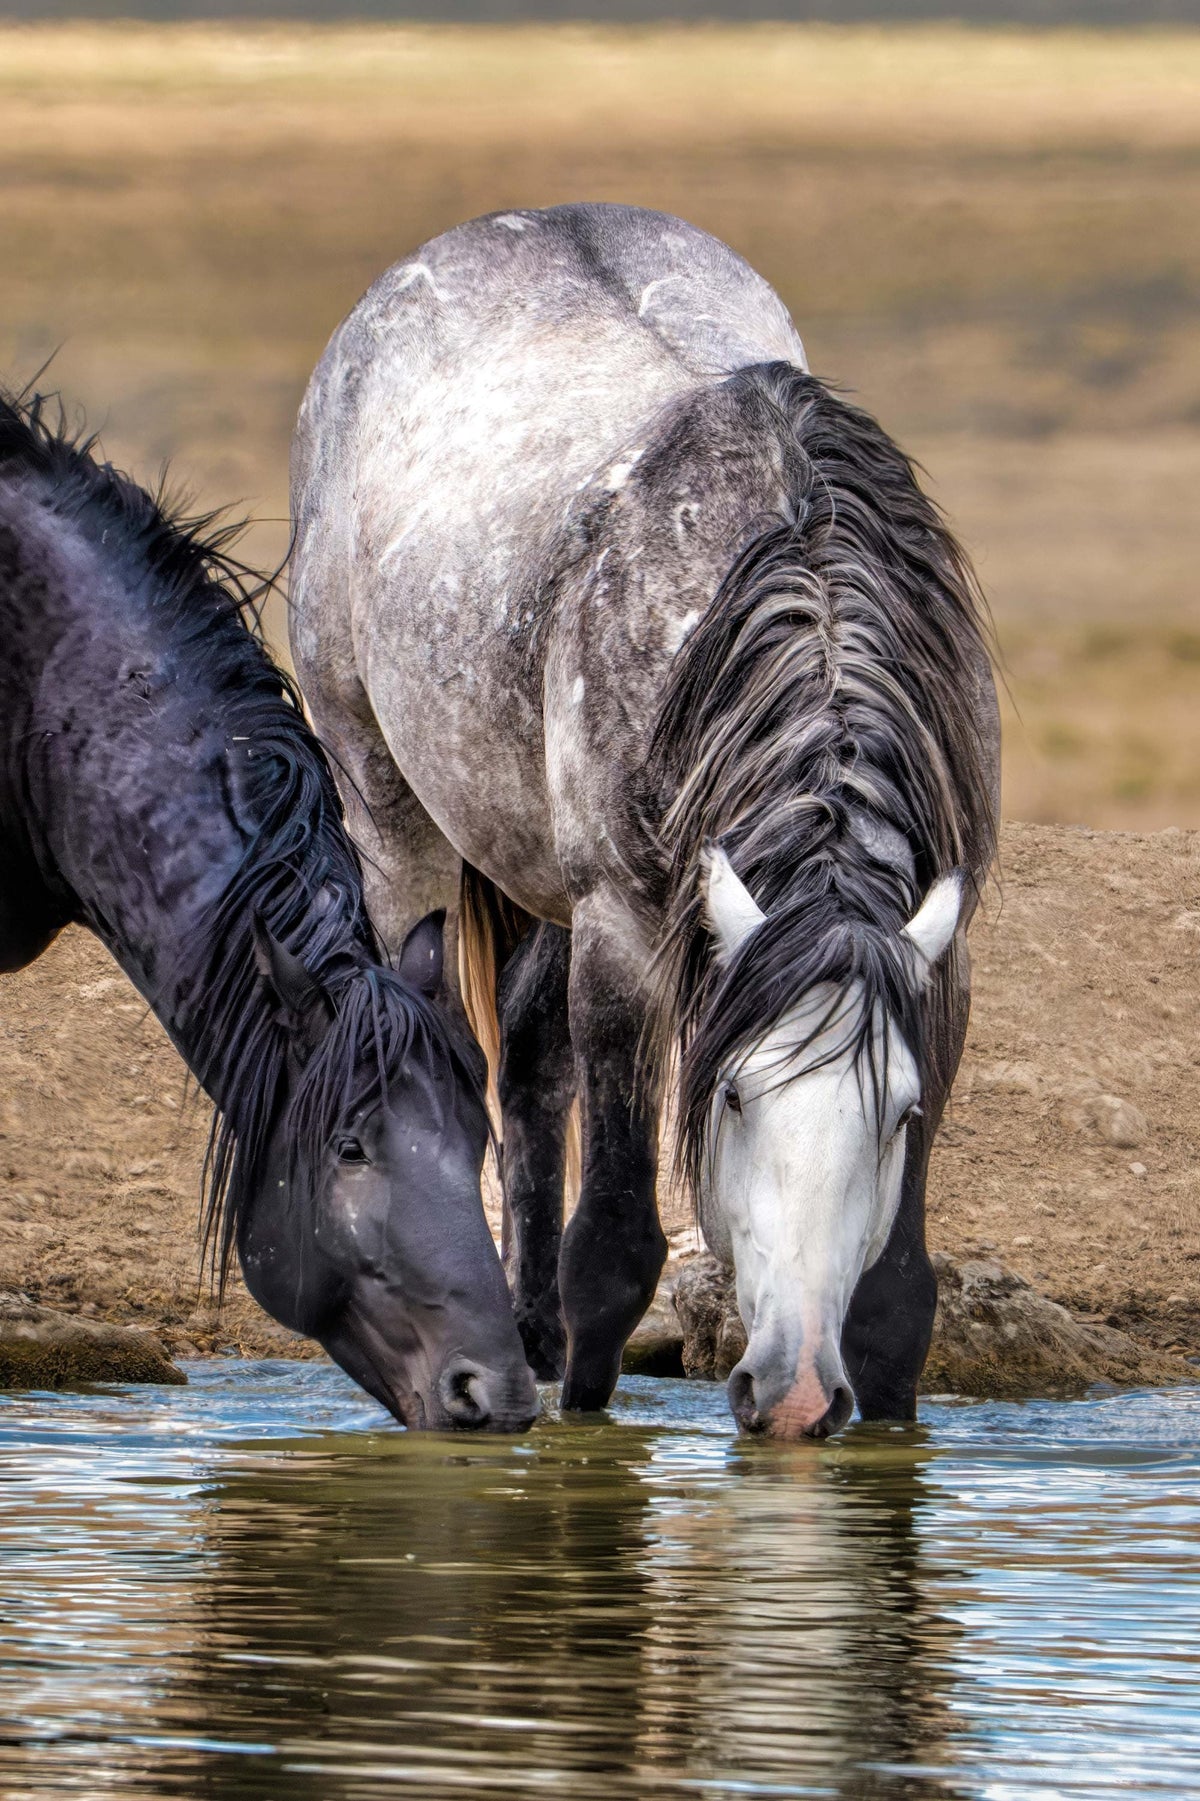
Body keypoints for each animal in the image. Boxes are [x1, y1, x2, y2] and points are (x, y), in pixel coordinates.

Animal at [289, 203, 1000, 1439]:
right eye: (732, 1092)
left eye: (899, 1114)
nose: (796, 1392)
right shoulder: (622, 932)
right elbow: (615, 1249)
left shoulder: (934, 966)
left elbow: (897, 1296)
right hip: (389, 809)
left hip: (530, 870)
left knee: (531, 1071)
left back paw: (524, 1327)